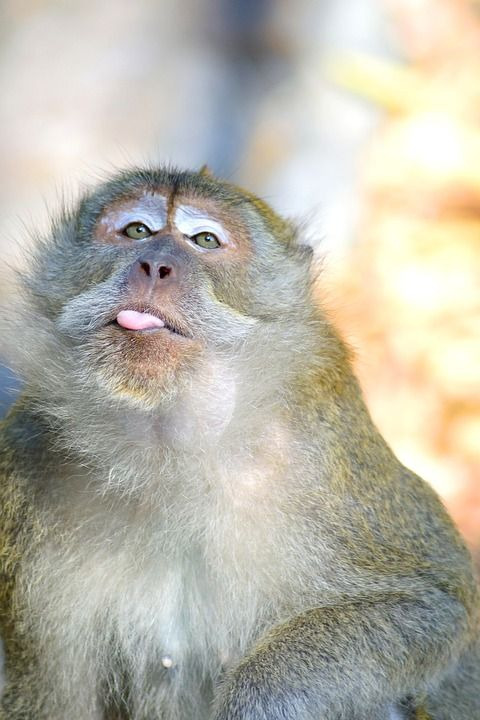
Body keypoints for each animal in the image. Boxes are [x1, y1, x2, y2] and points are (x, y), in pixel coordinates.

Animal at [0, 165, 478, 720]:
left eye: (205, 240)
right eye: (137, 230)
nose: (155, 265)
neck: (165, 458)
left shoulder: (320, 449)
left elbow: (432, 602)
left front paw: (259, 699)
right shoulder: (25, 457)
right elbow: (48, 697)